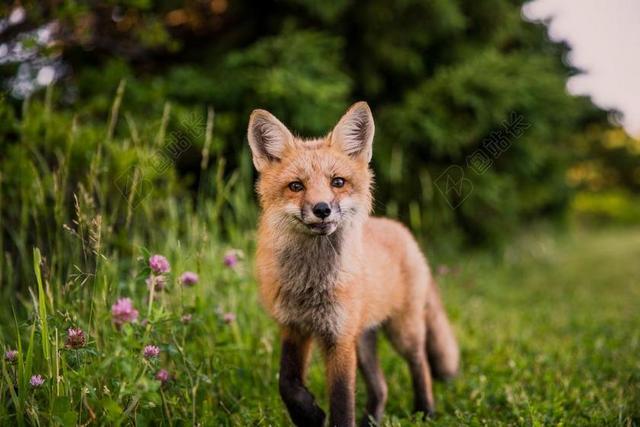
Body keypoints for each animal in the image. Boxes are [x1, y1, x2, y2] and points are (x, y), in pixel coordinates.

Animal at [246, 102, 460, 426]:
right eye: (296, 186)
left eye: (338, 182)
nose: (322, 209)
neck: (312, 283)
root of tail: (401, 230)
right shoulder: (294, 327)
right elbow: (287, 383)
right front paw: (308, 415)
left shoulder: (339, 338)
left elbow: (342, 401)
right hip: (364, 340)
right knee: (381, 387)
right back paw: (372, 419)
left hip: (402, 331)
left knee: (420, 363)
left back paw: (426, 411)